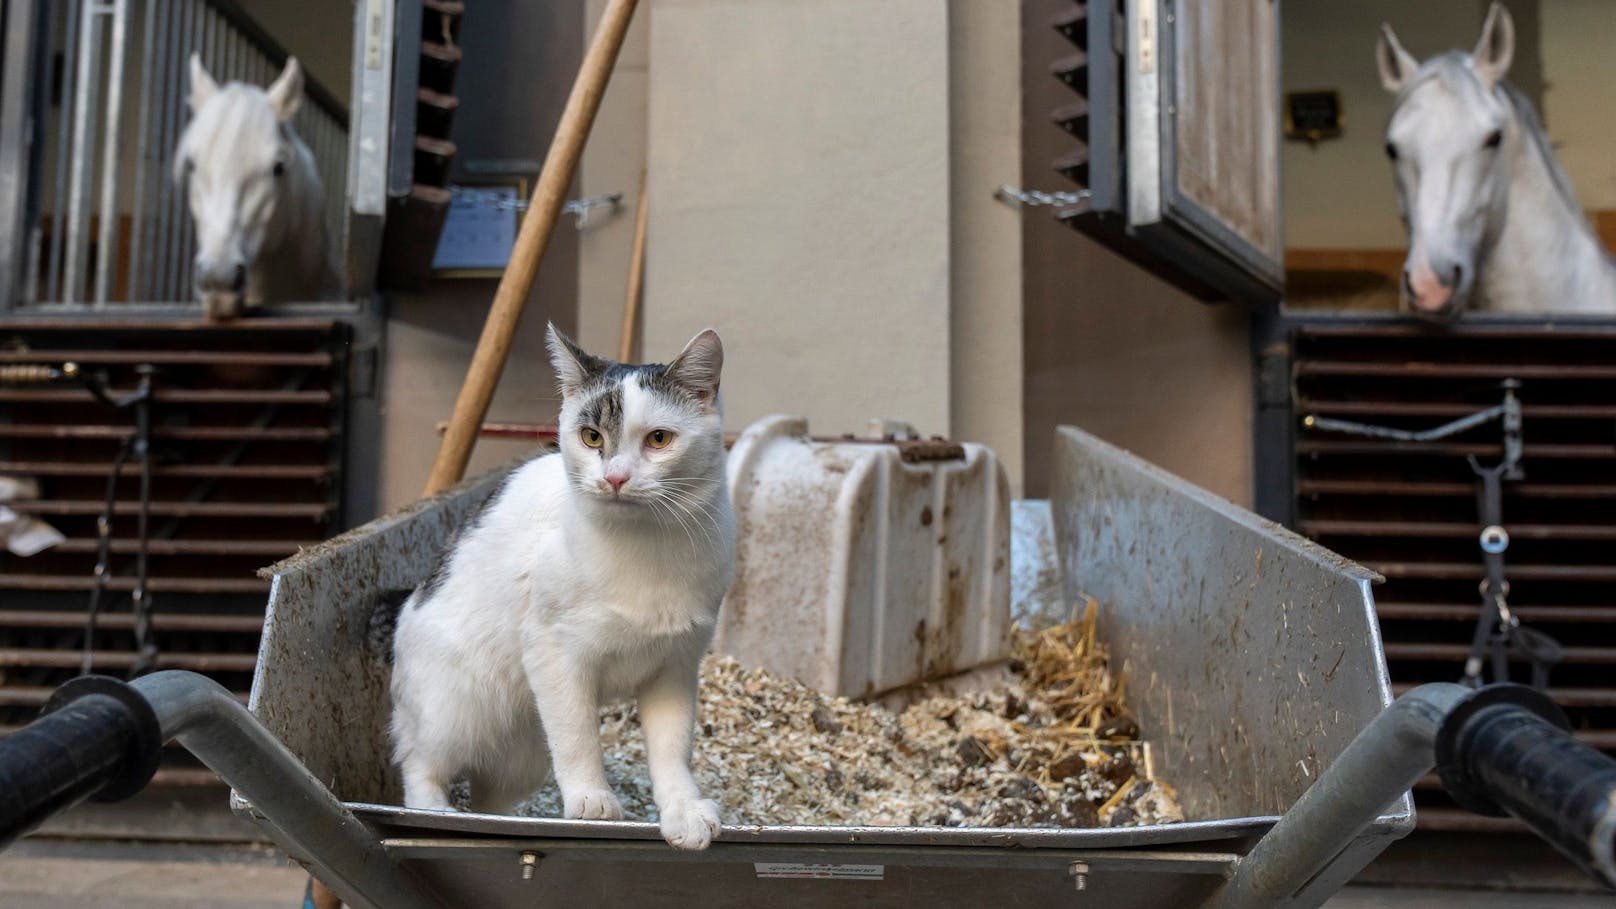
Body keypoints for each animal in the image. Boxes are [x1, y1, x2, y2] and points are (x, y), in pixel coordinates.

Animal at [387, 325, 740, 847]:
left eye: (659, 439)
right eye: (591, 437)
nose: (615, 477)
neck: (647, 544)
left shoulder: (675, 665)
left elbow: (672, 749)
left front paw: (683, 809)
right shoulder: (554, 651)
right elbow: (577, 736)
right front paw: (593, 801)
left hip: (524, 757)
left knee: (489, 802)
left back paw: (500, 824)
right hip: (452, 711)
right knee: (419, 763)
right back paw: (434, 811)